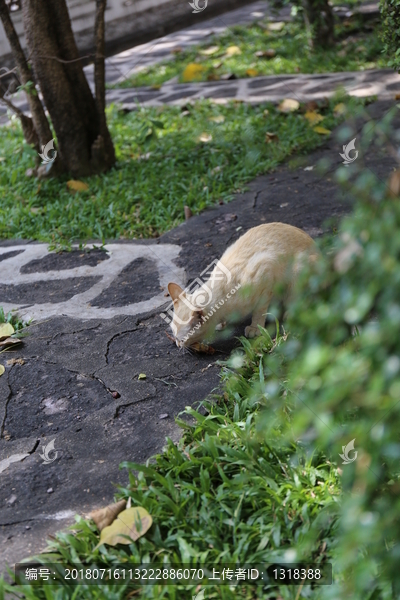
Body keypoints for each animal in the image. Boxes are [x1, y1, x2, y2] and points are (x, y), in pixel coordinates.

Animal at [167, 223, 318, 350]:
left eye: (181, 339)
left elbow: (259, 311)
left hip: (298, 270)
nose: (177, 344)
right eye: (173, 334)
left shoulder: (266, 274)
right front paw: (221, 324)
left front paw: (255, 328)